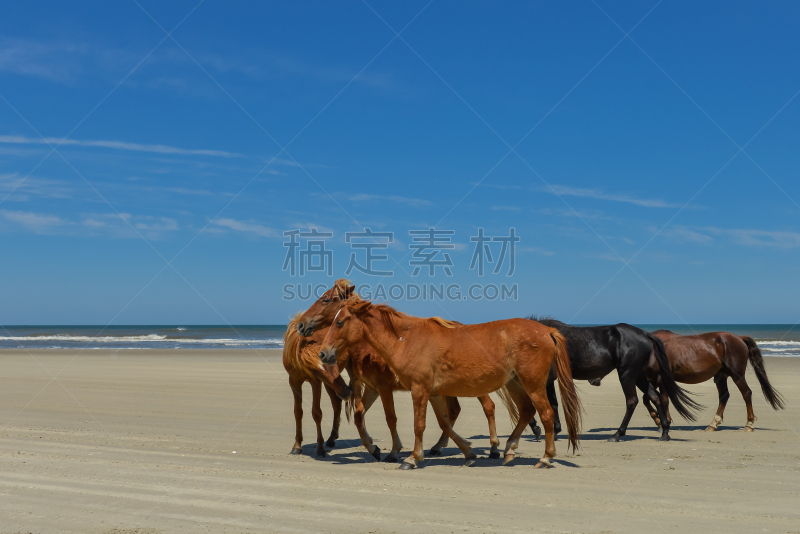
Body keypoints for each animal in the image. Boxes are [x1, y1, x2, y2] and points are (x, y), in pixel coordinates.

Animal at [296, 282, 506, 462]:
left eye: (325, 299)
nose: (301, 324)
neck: (370, 347)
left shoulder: (384, 387)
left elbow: (391, 418)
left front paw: (394, 451)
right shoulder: (372, 388)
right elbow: (358, 416)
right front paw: (374, 449)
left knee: (488, 407)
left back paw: (494, 448)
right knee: (454, 411)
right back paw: (439, 447)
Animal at [314, 302, 580, 474]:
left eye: (339, 322)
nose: (323, 354)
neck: (406, 340)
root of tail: (547, 330)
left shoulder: (417, 390)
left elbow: (418, 425)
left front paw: (411, 458)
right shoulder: (433, 393)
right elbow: (444, 423)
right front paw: (468, 454)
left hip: (532, 384)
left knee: (546, 414)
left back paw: (545, 458)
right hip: (515, 383)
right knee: (526, 412)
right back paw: (508, 450)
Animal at [528, 318, 704, 444]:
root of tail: (645, 334)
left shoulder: (546, 378)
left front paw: (544, 430)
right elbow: (551, 403)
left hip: (626, 374)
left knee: (632, 401)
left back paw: (618, 434)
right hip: (638, 376)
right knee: (655, 397)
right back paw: (665, 431)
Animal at [644, 332, 788, 434]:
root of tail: (739, 338)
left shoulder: (660, 379)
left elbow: (662, 399)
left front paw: (663, 422)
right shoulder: (652, 380)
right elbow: (648, 399)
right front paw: (658, 420)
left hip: (737, 375)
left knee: (746, 393)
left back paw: (749, 424)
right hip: (721, 376)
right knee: (724, 396)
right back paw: (713, 424)